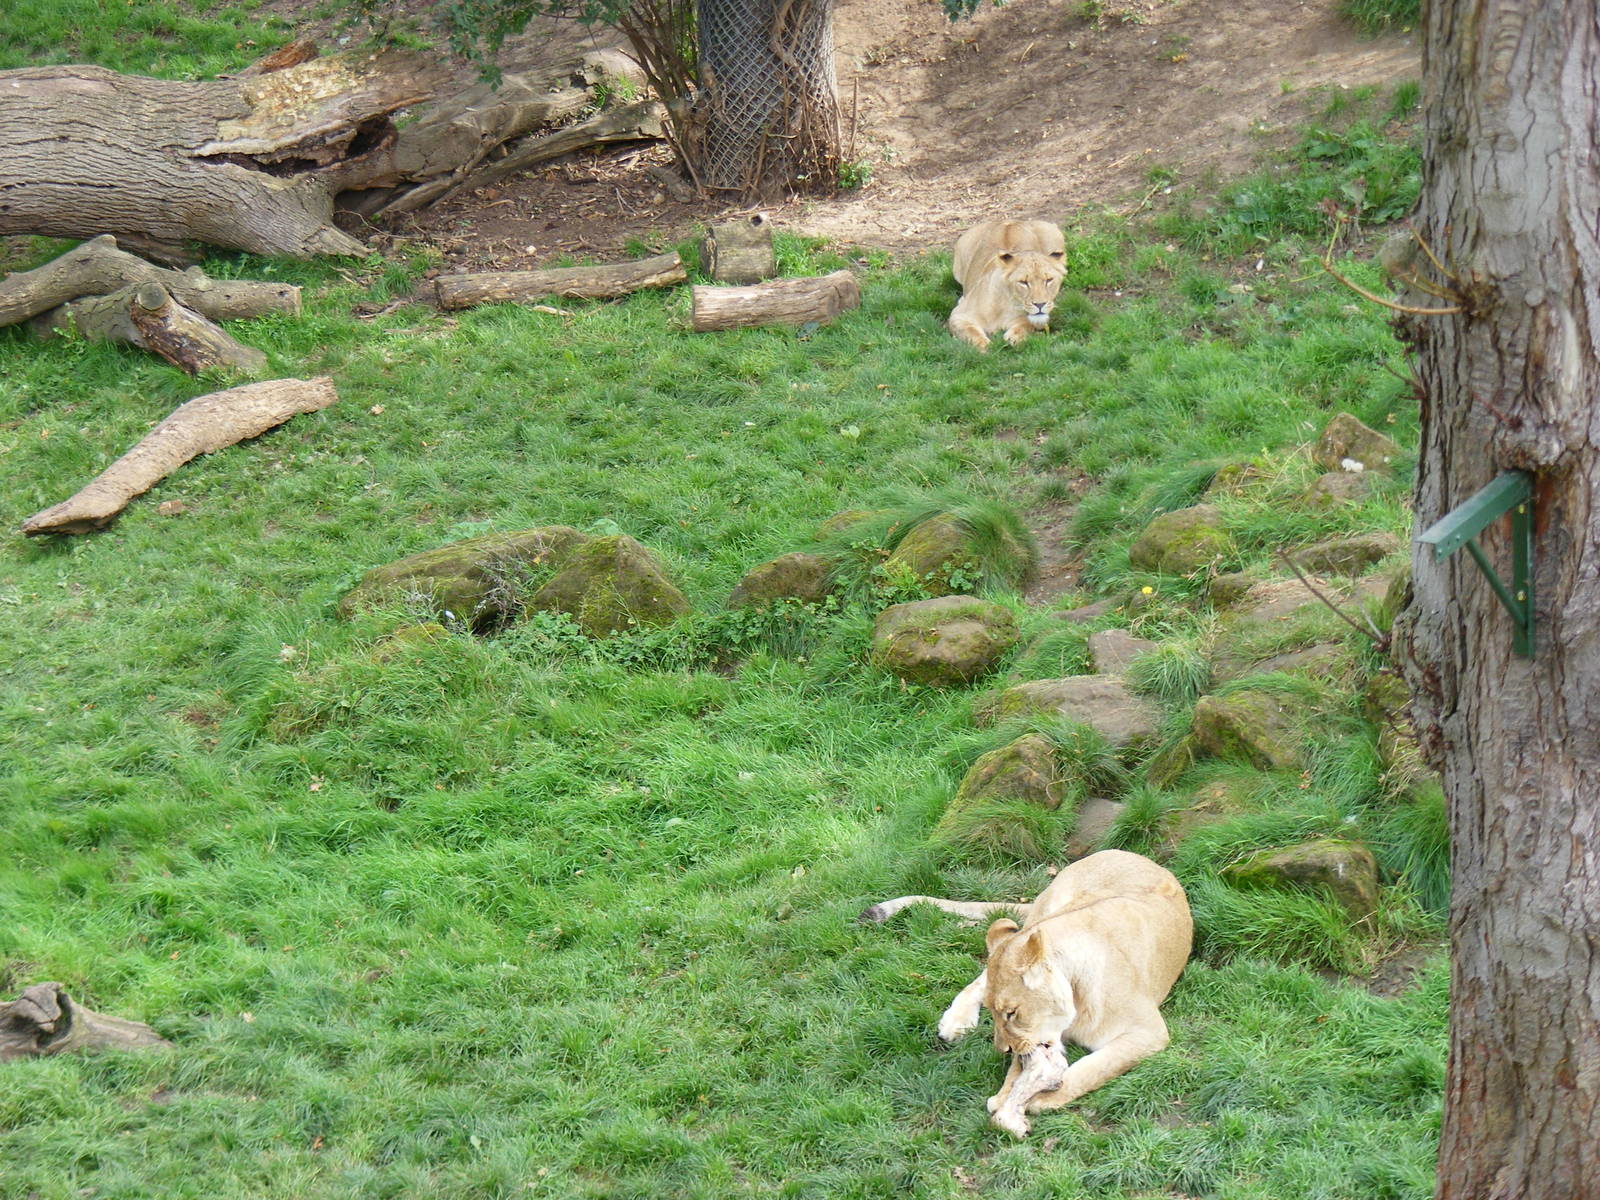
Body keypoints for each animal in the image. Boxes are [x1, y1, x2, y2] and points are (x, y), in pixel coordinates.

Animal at [860, 849, 1192, 1138]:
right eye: (994, 1014)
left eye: (1011, 1012)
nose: (1002, 1050)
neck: (1075, 995)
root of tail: (1132, 855)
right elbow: (1019, 1068)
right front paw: (1005, 1097)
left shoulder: (1148, 1032)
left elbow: (1092, 1069)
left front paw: (1034, 1099)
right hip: (1048, 911)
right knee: (984, 972)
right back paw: (956, 1022)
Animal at [947, 219, 1067, 351]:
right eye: (1023, 282)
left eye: (1049, 280)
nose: (1040, 304)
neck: (1007, 304)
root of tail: (1009, 220)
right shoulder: (958, 316)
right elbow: (971, 331)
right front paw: (984, 346)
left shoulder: (1038, 320)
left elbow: (1026, 325)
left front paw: (1014, 338)